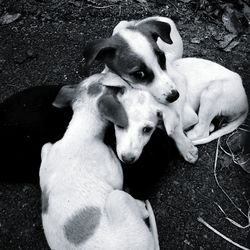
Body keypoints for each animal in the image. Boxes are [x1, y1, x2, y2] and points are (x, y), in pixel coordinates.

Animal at [40, 73, 159, 250]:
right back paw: (140, 206)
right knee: (137, 208)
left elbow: (44, 150)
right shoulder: (115, 176)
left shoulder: (48, 150)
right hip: (117, 198)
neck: (80, 132)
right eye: (117, 88)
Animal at [106, 57, 248, 165]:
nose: (127, 159)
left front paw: (185, 148)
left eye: (147, 130)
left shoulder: (188, 116)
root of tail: (246, 102)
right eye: (119, 125)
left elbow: (172, 126)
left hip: (212, 92)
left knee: (202, 131)